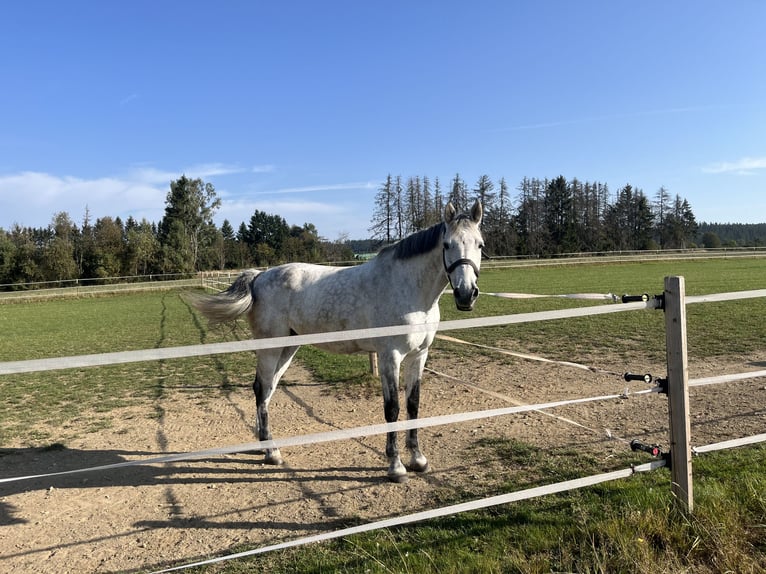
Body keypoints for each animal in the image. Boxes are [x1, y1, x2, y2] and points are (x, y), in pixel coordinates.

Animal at [189, 200, 484, 484]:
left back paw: (265, 445)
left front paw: (418, 460)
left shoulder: (419, 355)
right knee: (261, 390)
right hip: (270, 348)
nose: (466, 295)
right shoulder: (390, 356)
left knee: (268, 389)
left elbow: (413, 404)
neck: (409, 288)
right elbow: (392, 409)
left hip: (288, 347)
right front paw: (396, 467)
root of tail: (260, 276)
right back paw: (272, 453)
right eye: (447, 245)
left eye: (479, 244)